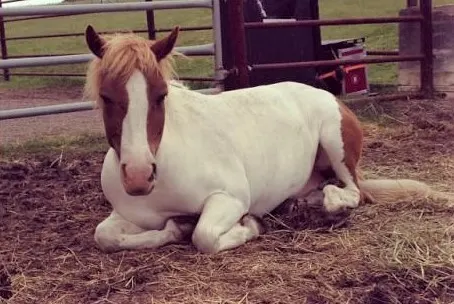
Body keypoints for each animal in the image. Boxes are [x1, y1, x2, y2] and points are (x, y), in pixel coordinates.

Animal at [83, 25, 452, 254]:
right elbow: (105, 236)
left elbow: (204, 236)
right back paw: (299, 203)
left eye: (160, 95)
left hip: (336, 146)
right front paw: (176, 228)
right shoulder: (131, 216)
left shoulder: (229, 199)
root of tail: (329, 96)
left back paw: (329, 204)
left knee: (353, 192)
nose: (138, 176)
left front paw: (250, 226)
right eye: (106, 96)